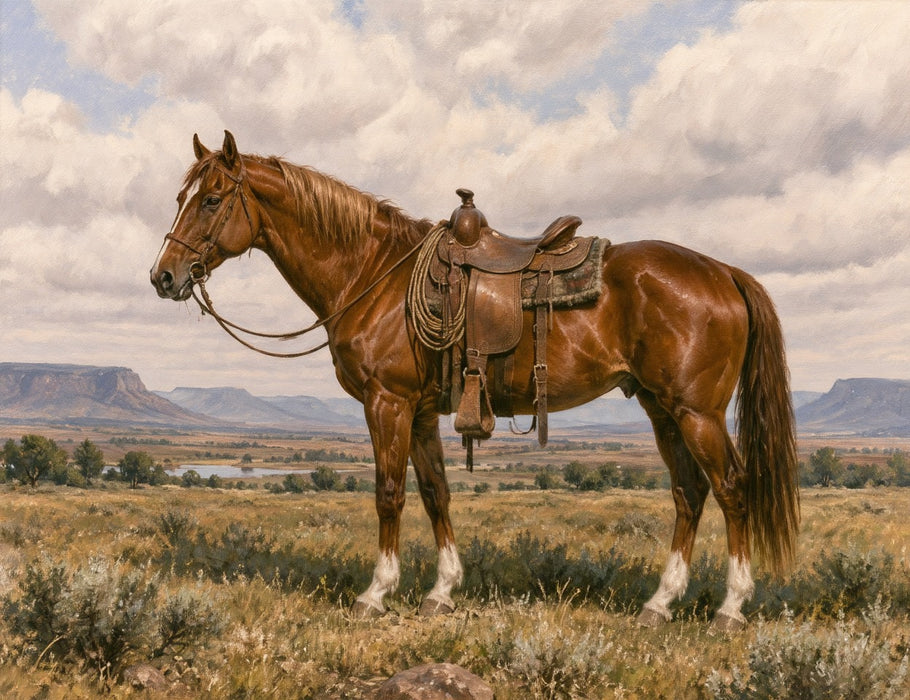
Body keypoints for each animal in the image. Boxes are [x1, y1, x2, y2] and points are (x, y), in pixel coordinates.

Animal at [150, 131, 799, 630]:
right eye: (181, 197)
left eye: (211, 200)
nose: (163, 276)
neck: (371, 273)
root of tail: (724, 272)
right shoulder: (418, 412)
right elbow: (436, 492)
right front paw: (442, 590)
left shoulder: (387, 403)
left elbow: (389, 494)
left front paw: (375, 592)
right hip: (662, 409)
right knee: (689, 493)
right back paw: (659, 604)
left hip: (697, 413)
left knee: (733, 489)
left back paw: (730, 608)